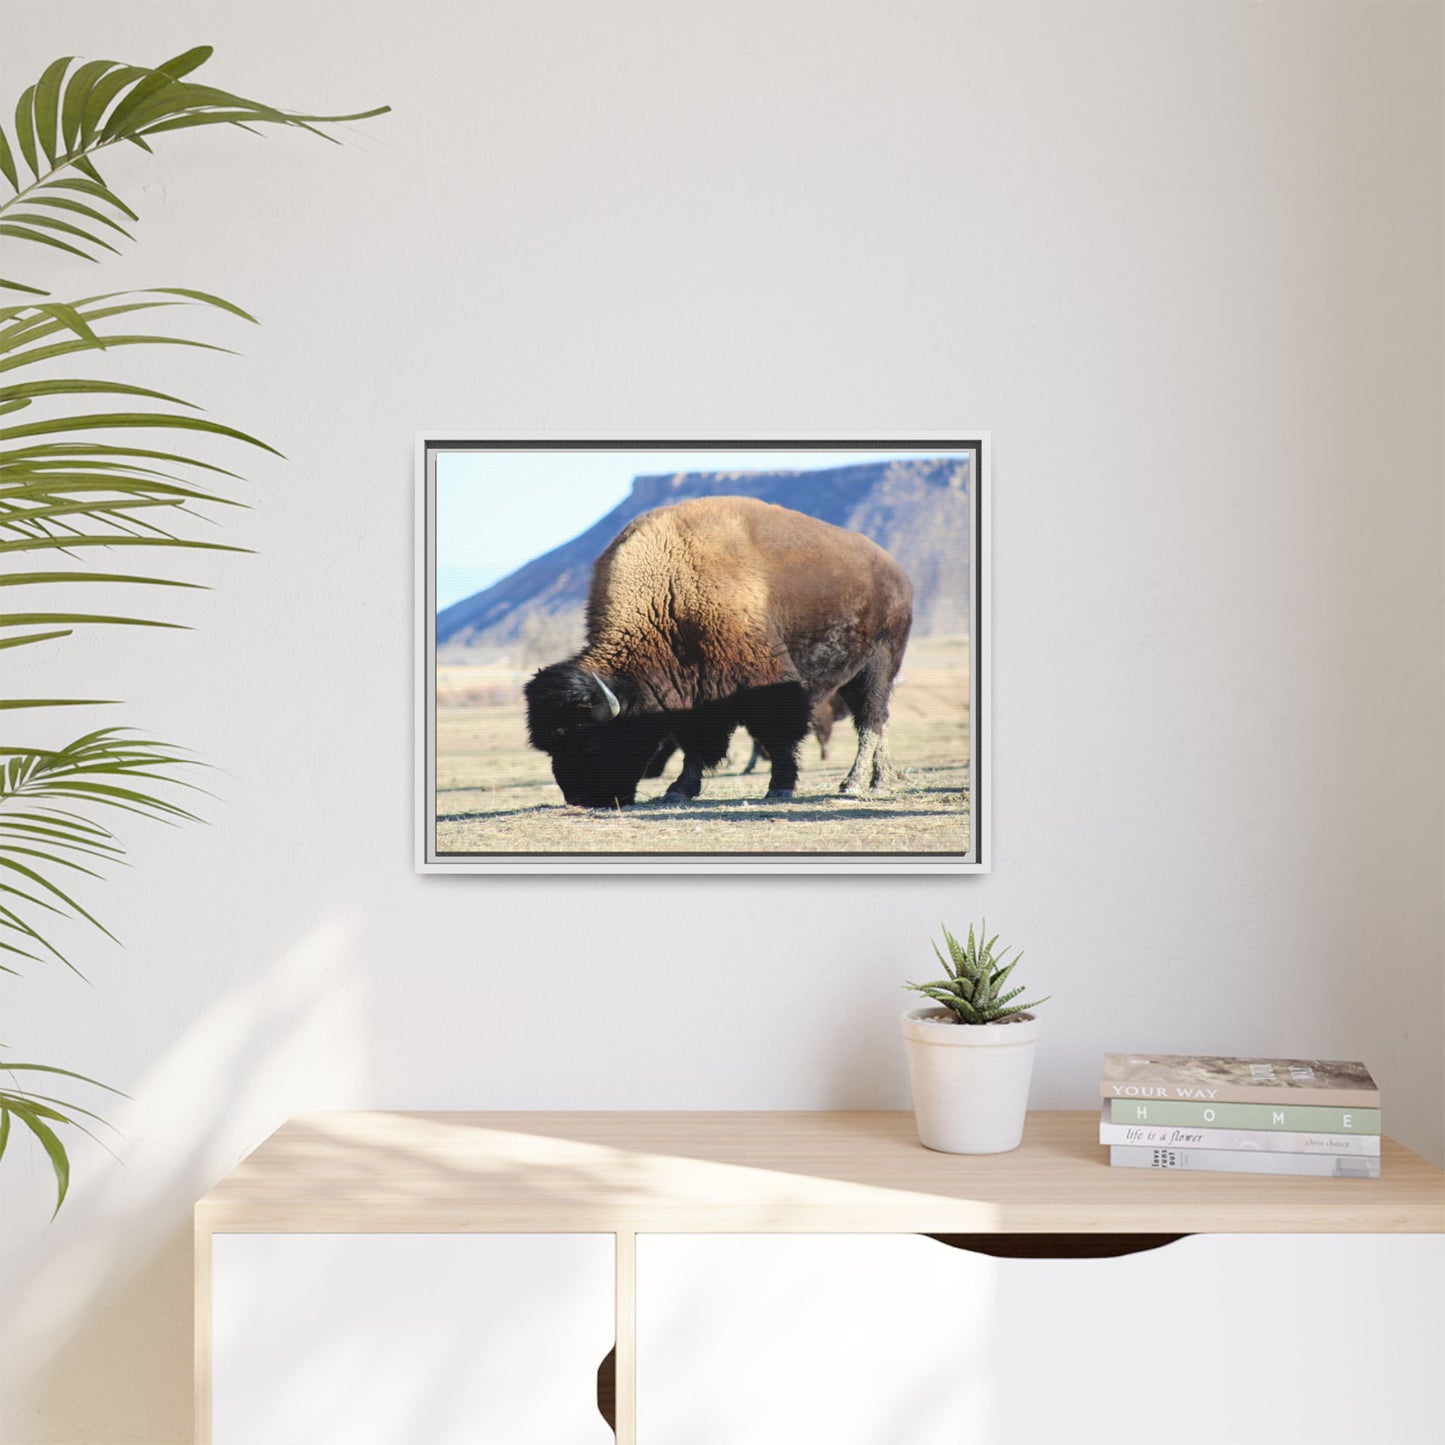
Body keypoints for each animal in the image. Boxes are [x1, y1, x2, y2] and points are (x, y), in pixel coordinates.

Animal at [524, 496, 913, 808]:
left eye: (589, 741)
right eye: (551, 747)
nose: (581, 798)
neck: (670, 592)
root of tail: (895, 571)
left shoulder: (765, 681)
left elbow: (778, 734)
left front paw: (780, 787)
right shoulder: (695, 694)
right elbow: (696, 744)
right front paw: (678, 790)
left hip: (880, 663)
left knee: (870, 720)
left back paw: (858, 784)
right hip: (855, 673)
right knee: (877, 720)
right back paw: (881, 780)